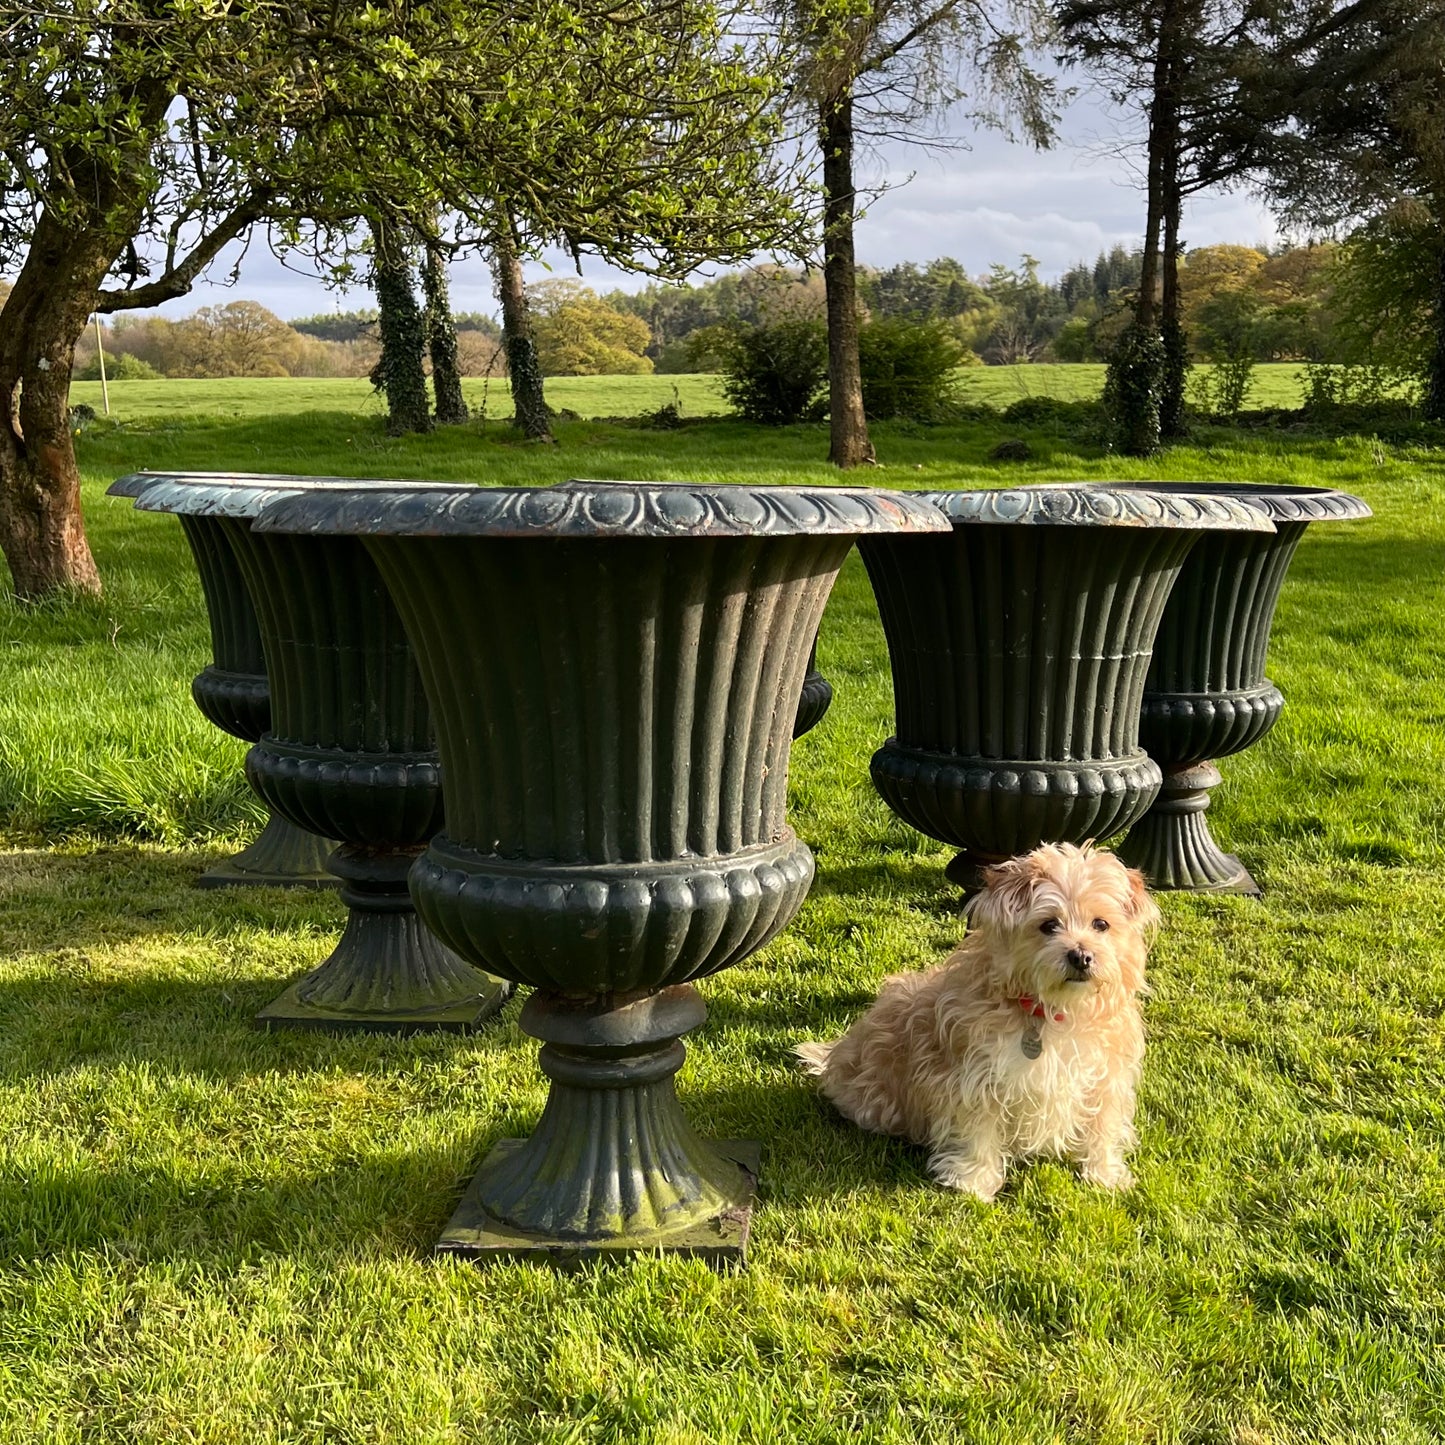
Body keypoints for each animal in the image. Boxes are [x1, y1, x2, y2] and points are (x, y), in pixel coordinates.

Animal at [797, 843, 1156, 1202]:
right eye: (1048, 925)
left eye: (1101, 924)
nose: (1081, 956)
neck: (1056, 1013)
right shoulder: (973, 1078)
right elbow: (977, 1128)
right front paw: (973, 1181)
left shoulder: (1107, 1077)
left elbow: (1103, 1126)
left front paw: (1106, 1174)